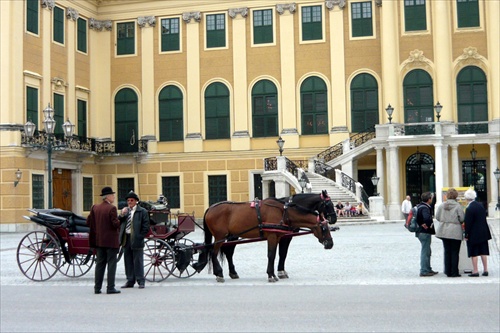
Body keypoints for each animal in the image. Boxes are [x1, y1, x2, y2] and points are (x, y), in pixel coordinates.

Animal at [193, 195, 334, 280]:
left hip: (230, 236)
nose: (330, 244)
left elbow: (278, 254)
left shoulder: (278, 237)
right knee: (214, 252)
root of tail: (210, 208)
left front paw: (276, 272)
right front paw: (272, 274)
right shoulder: (273, 236)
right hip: (220, 236)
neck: (284, 212)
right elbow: (272, 255)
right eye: (324, 228)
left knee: (226, 252)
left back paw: (231, 272)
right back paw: (219, 273)